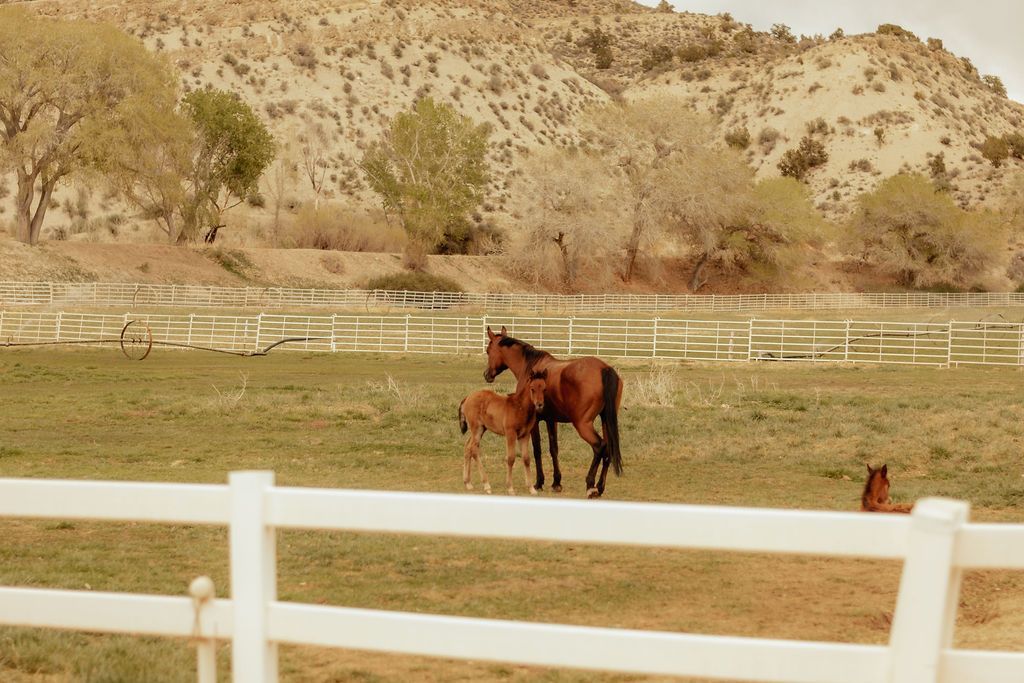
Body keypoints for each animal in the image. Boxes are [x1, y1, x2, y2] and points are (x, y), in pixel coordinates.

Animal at [483, 325, 623, 499]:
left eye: (488, 351)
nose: (487, 375)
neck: (530, 367)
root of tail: (605, 369)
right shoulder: (551, 420)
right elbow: (553, 448)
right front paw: (556, 482)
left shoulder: (534, 422)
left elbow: (537, 450)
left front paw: (539, 482)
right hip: (605, 420)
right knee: (608, 449)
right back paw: (600, 487)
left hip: (583, 424)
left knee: (599, 447)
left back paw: (590, 485)